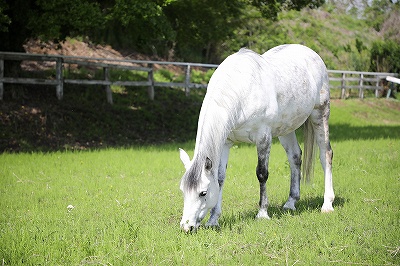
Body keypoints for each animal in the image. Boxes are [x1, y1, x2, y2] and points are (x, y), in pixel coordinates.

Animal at [180, 44, 332, 232]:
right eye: (183, 191)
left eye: (203, 193)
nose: (186, 226)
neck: (242, 91)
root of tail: (311, 53)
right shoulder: (225, 143)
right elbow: (220, 178)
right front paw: (213, 220)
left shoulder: (263, 138)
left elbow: (262, 174)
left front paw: (262, 213)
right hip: (286, 129)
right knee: (295, 157)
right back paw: (291, 203)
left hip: (320, 114)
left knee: (326, 154)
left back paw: (327, 204)